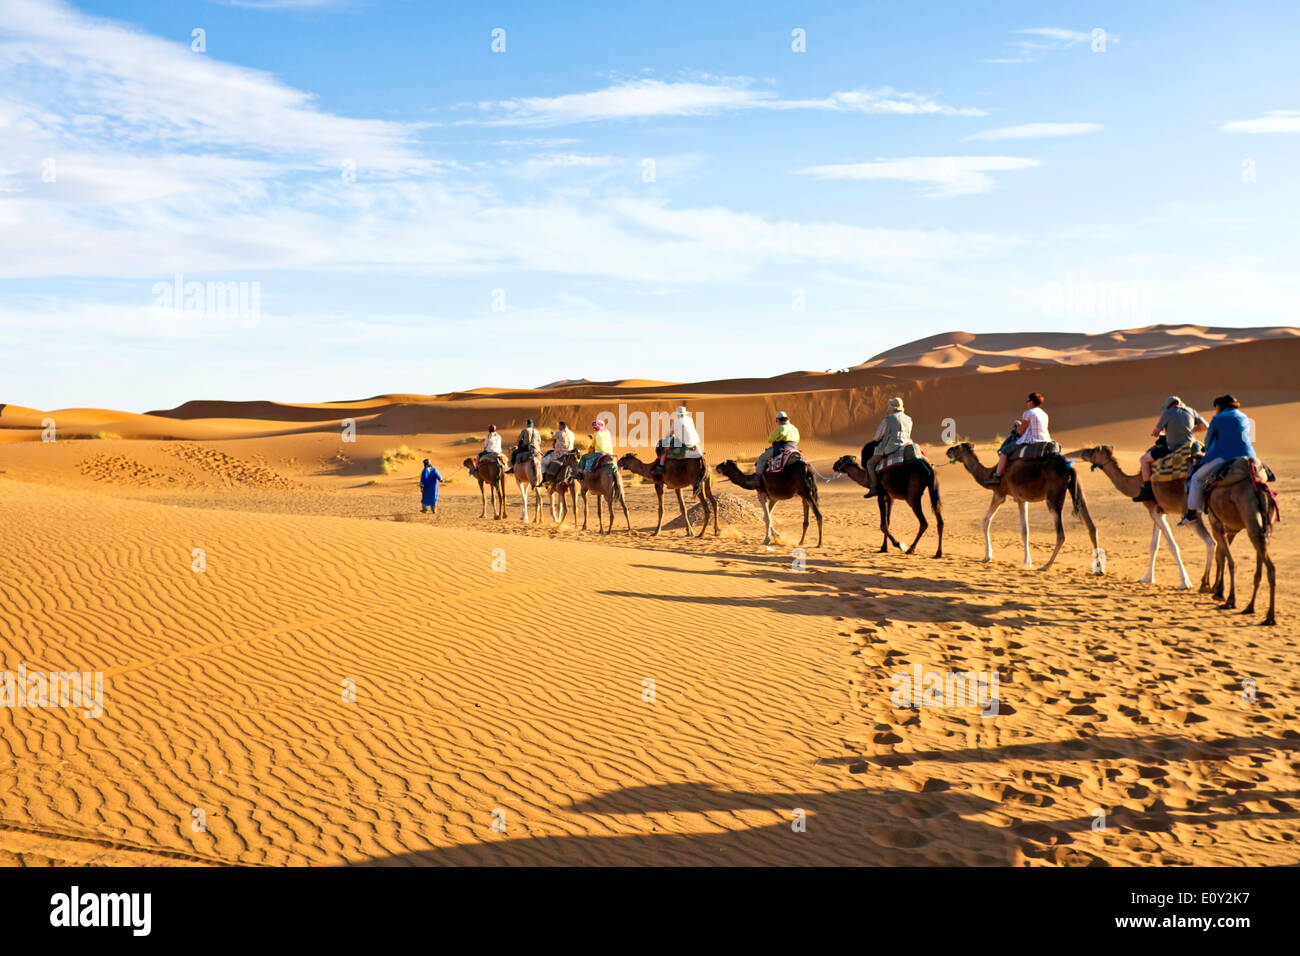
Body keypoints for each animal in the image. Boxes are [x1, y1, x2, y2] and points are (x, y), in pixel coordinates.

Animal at [946, 442, 1097, 572]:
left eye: (958, 446)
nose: (948, 451)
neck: (989, 474)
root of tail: (1069, 467)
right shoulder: (1023, 499)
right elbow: (1025, 530)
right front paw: (1027, 561)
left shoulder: (1000, 494)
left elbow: (986, 521)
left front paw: (988, 556)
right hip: (1077, 491)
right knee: (1091, 527)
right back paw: (1098, 568)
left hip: (1053, 498)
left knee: (1061, 535)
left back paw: (1046, 566)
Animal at [1066, 447, 1216, 590]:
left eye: (1092, 451)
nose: (1077, 454)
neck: (1137, 483)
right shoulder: (1158, 510)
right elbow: (1154, 546)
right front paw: (1147, 578)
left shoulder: (1153, 509)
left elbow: (1172, 546)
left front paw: (1185, 582)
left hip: (1190, 511)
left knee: (1211, 542)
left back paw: (1206, 585)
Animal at [1196, 463, 1279, 629]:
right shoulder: (1231, 530)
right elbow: (1221, 555)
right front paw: (1216, 590)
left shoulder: (1216, 524)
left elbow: (1228, 560)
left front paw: (1225, 597)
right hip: (1262, 529)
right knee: (1262, 568)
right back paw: (1252, 608)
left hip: (1250, 521)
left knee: (1270, 568)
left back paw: (1268, 617)